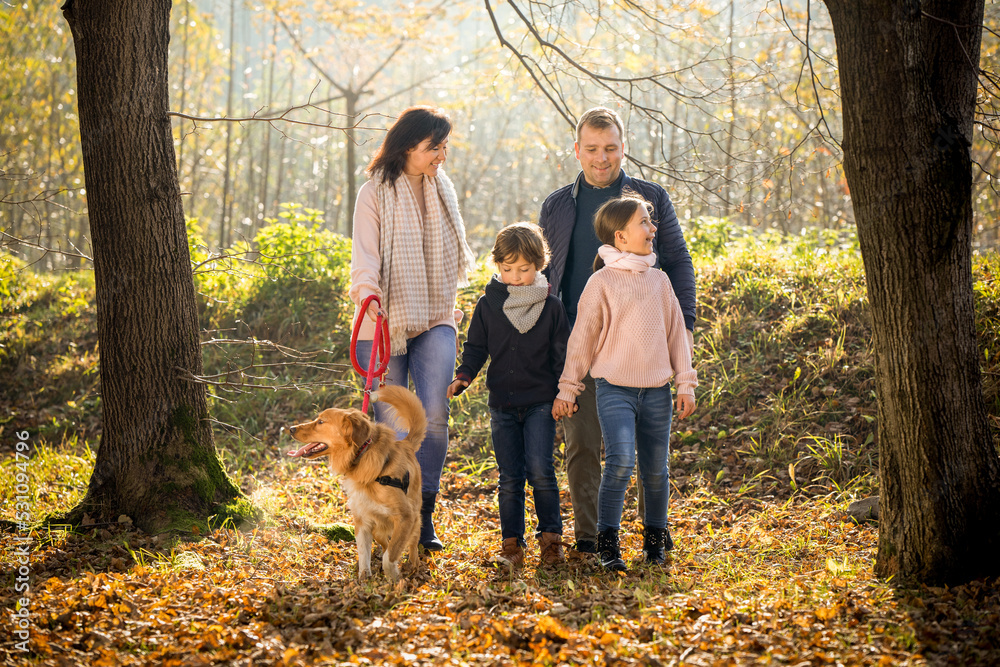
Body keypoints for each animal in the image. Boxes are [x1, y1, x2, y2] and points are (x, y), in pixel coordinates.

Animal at [286, 384, 426, 580]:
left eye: (321, 422)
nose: (291, 428)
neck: (362, 456)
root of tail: (405, 443)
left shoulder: (406, 517)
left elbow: (390, 556)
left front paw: (394, 578)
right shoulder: (362, 519)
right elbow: (364, 554)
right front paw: (364, 580)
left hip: (414, 518)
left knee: (412, 543)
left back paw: (413, 565)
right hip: (378, 528)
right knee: (384, 544)